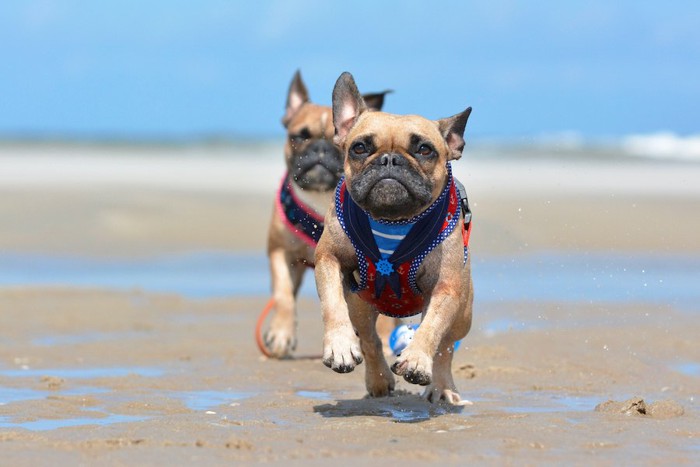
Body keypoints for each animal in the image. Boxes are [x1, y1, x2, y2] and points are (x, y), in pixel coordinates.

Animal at [314, 71, 474, 404]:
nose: (389, 160)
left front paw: (417, 359)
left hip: (463, 312)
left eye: (424, 150)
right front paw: (339, 345)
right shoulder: (328, 258)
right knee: (370, 339)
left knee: (446, 347)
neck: (392, 221)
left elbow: (432, 328)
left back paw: (442, 387)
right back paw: (377, 380)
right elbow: (332, 303)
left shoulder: (446, 287)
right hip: (360, 303)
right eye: (359, 148)